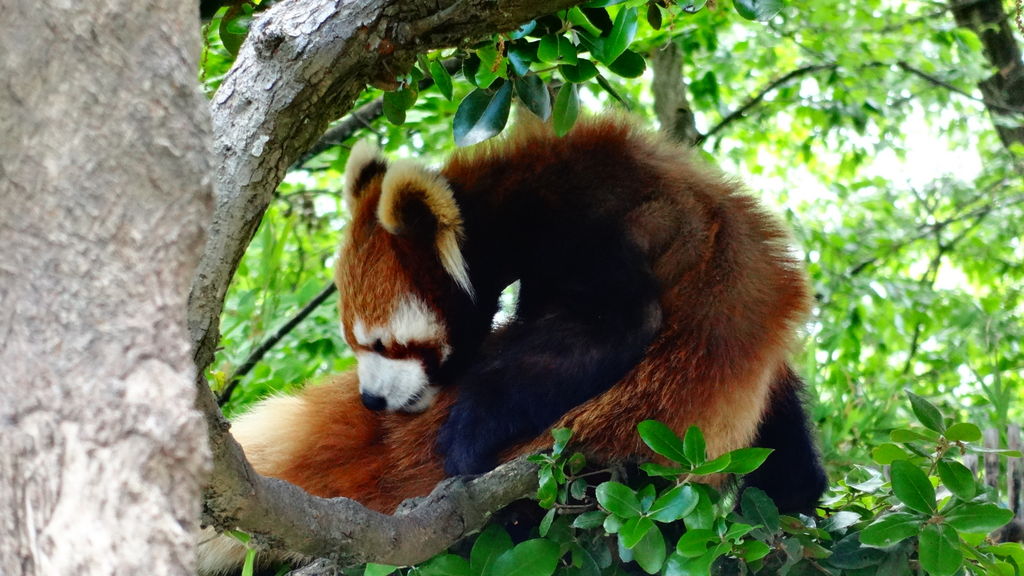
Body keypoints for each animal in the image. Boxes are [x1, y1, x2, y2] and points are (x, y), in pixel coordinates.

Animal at [195, 114, 827, 569]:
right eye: (354, 343)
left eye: (386, 344)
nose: (372, 400)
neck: (509, 201)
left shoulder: (587, 221)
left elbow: (620, 321)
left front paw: (465, 436)